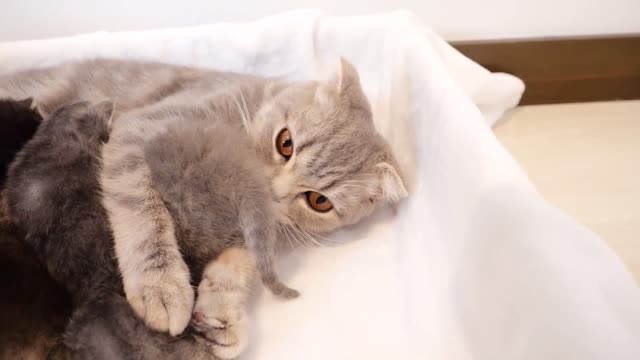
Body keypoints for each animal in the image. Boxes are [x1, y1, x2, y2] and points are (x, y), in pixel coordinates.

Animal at [0, 57, 408, 348]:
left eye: (318, 201)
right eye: (286, 143)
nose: (272, 190)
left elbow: (240, 263)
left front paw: (221, 314)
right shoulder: (140, 130)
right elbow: (142, 210)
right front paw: (161, 284)